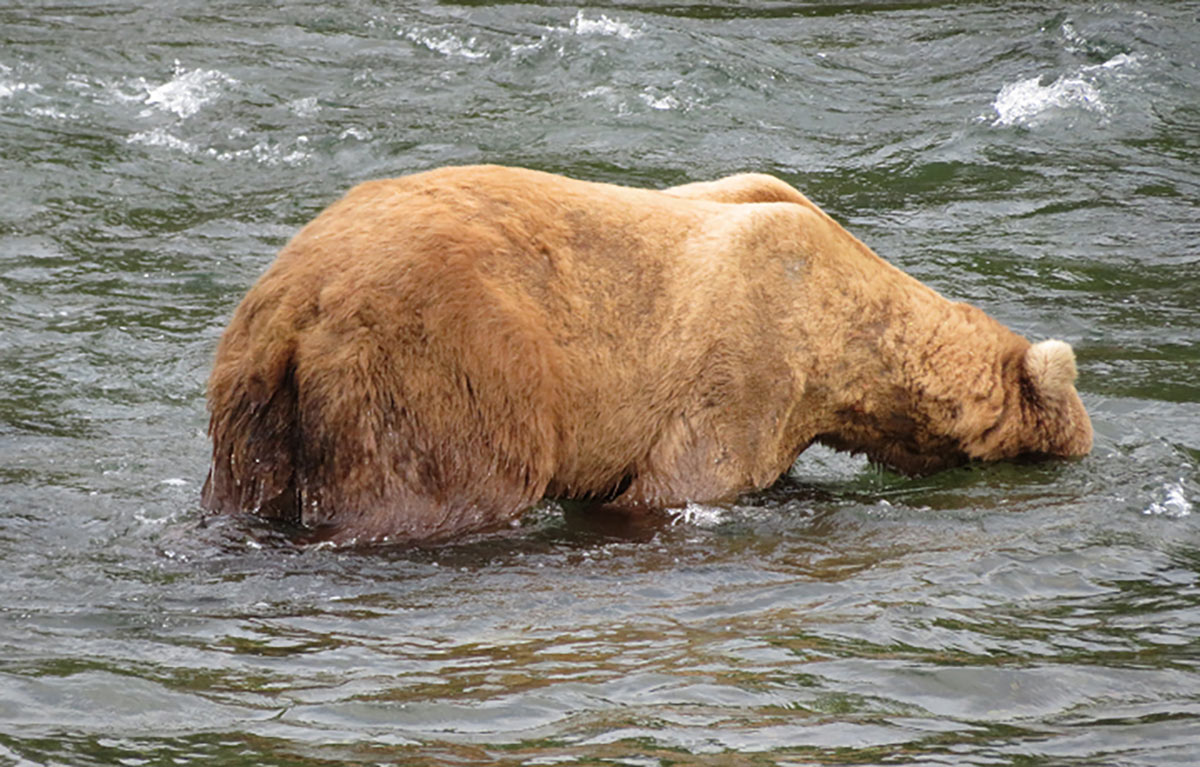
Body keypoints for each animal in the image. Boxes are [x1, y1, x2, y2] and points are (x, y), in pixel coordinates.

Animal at [202, 165, 1092, 545]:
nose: (1084, 436)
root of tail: (298, 300)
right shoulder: (748, 362)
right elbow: (678, 483)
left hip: (252, 403)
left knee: (242, 490)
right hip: (438, 366)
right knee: (436, 491)